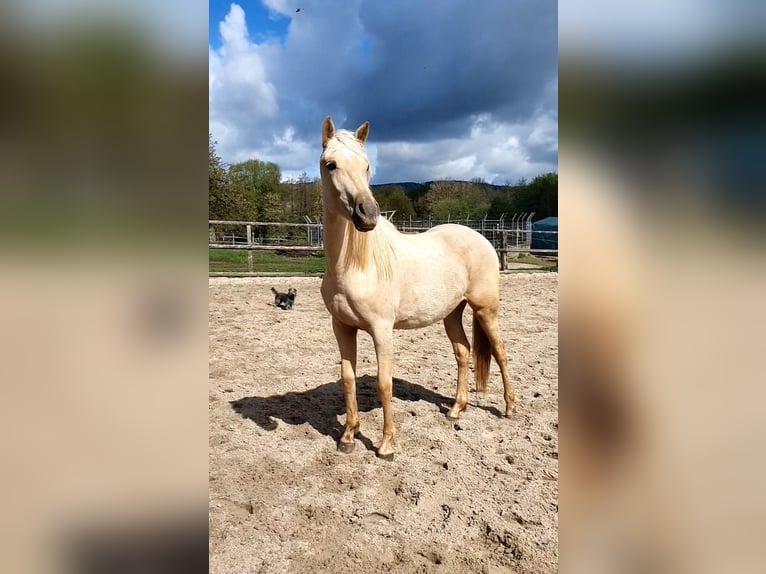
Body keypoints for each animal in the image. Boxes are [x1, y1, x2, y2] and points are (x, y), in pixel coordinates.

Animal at [319, 116, 515, 460]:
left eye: (367, 166)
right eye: (331, 164)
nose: (367, 215)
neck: (356, 266)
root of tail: (481, 238)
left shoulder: (382, 330)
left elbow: (384, 384)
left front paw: (386, 444)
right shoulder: (342, 327)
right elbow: (348, 380)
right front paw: (348, 437)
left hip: (485, 309)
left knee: (501, 353)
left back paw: (510, 409)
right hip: (452, 313)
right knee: (463, 353)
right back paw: (456, 409)